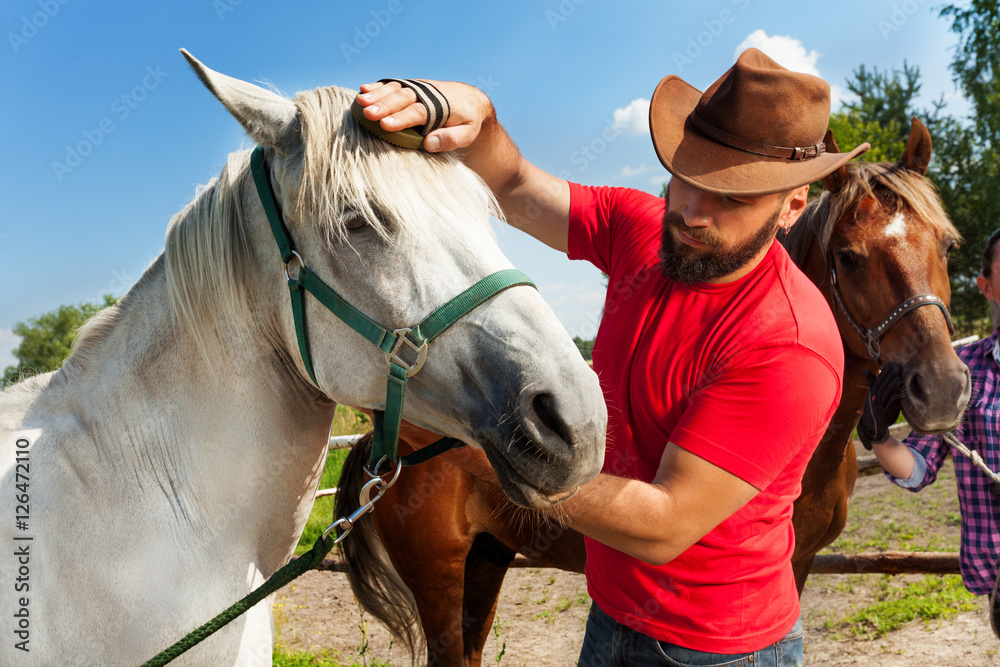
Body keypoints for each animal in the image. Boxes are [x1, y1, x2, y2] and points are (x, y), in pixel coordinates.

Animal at [336, 117, 968, 664]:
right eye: (849, 257)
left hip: (487, 560)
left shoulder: (802, 565)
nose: (941, 390)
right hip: (440, 578)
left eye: (947, 245)